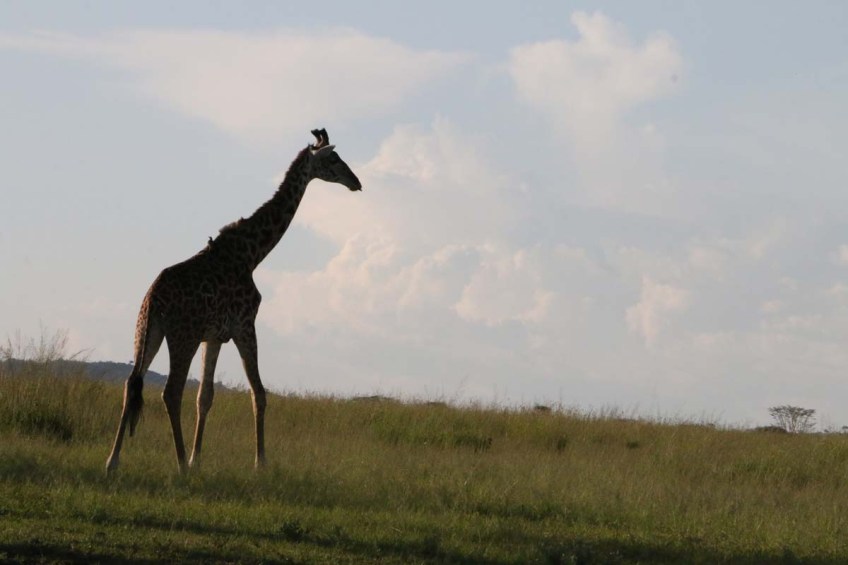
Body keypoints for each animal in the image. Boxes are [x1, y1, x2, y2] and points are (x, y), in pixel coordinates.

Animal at [106, 129, 361, 474]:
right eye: (333, 159)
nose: (356, 181)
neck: (253, 254)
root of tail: (153, 297)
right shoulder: (245, 325)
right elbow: (259, 393)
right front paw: (260, 462)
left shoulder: (213, 337)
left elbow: (205, 396)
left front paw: (197, 458)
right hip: (181, 337)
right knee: (170, 392)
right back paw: (179, 466)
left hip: (147, 332)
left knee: (131, 384)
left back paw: (113, 462)